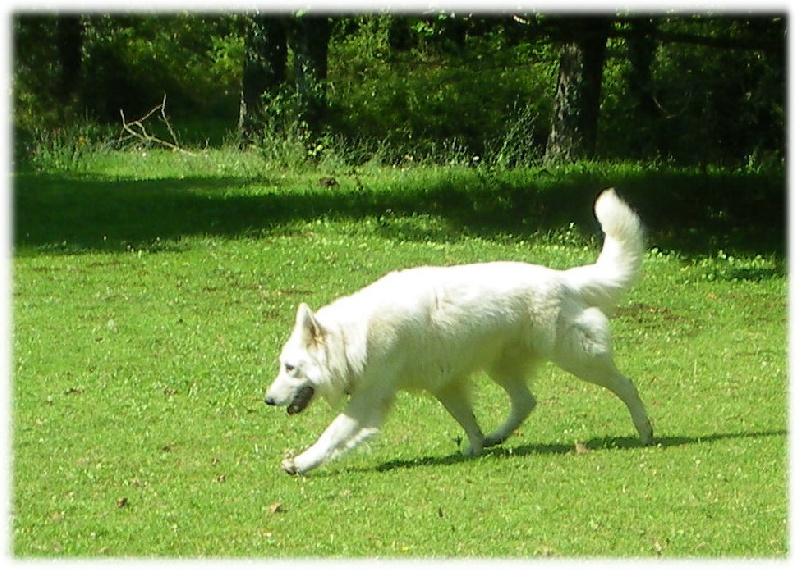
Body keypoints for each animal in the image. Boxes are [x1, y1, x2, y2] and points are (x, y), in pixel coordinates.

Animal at [266, 189, 652, 472]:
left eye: (290, 368)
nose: (267, 400)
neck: (353, 337)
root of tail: (565, 279)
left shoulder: (369, 400)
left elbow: (332, 435)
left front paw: (300, 463)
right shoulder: (446, 385)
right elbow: (469, 421)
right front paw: (477, 445)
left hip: (577, 358)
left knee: (627, 385)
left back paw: (645, 430)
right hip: (501, 366)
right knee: (526, 401)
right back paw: (498, 437)